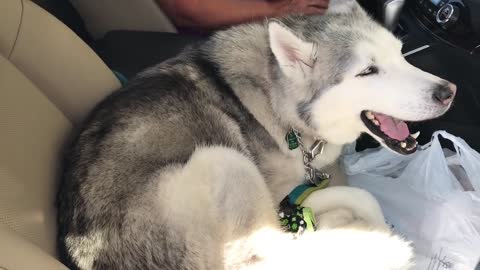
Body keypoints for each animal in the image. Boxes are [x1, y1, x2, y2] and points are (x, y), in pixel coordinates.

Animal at [55, 0, 454, 268]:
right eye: (367, 71)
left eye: (400, 54)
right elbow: (352, 196)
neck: (279, 103)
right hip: (223, 160)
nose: (448, 91)